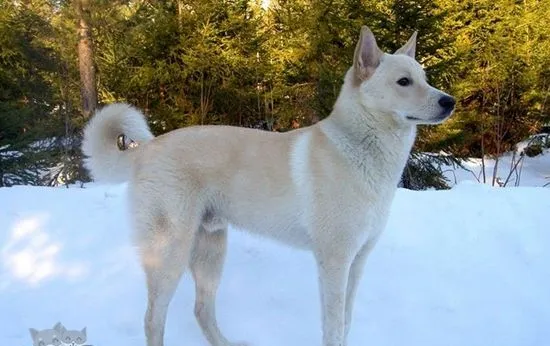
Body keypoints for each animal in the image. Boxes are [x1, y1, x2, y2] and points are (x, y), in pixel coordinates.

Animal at [82, 26, 458, 346]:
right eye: (404, 81)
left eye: (425, 79)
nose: (449, 101)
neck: (359, 148)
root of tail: (146, 150)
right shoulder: (335, 261)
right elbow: (334, 326)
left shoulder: (358, 261)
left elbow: (346, 322)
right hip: (170, 254)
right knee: (153, 320)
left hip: (211, 252)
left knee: (202, 310)